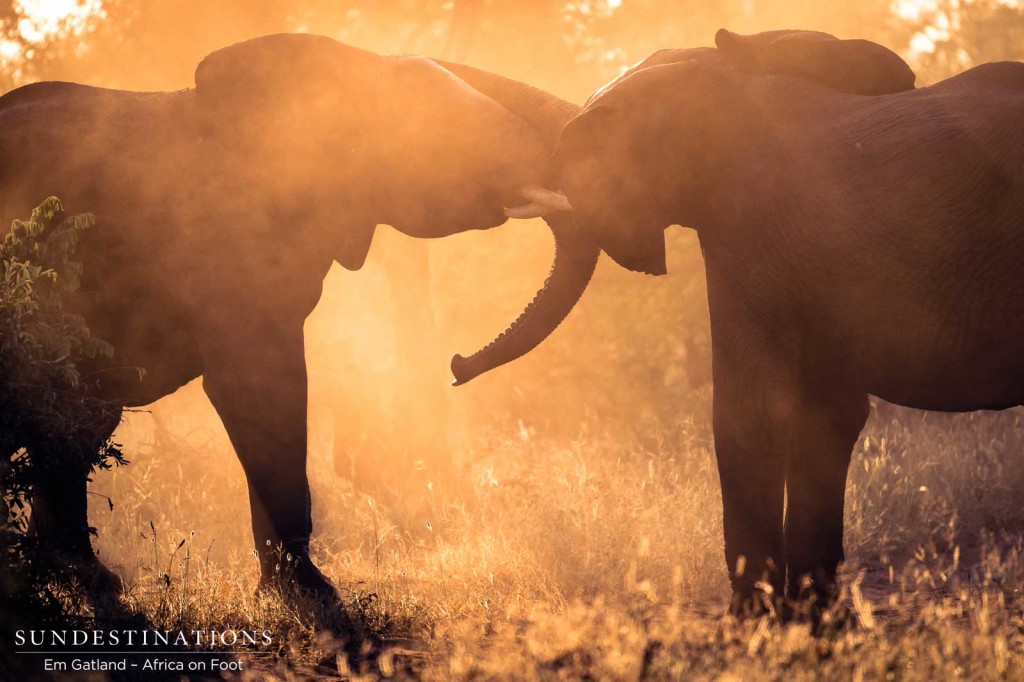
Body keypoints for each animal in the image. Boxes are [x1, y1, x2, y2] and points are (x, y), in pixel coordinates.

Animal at [458, 27, 1024, 610]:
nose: (455, 366)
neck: (721, 77)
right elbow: (831, 413)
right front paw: (809, 617)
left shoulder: (746, 232)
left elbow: (749, 413)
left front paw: (751, 619)